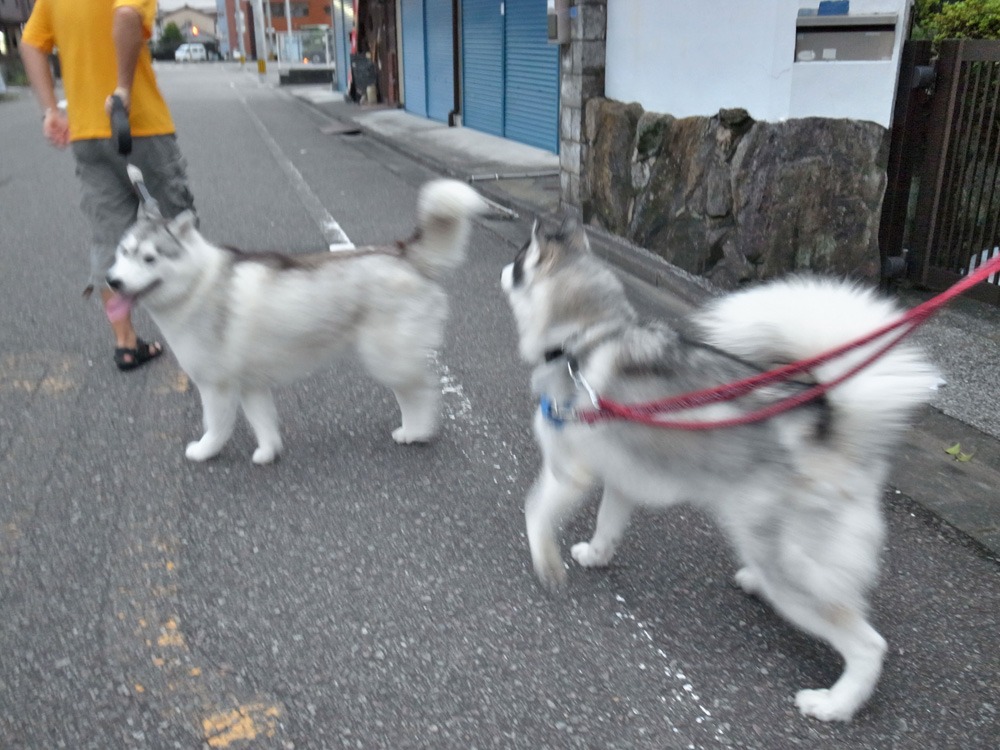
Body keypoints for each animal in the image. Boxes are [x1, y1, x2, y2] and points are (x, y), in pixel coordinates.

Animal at [107, 177, 486, 468]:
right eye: (123, 252)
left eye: (149, 258)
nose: (113, 281)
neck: (197, 284)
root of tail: (403, 254)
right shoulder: (251, 384)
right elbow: (263, 423)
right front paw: (267, 453)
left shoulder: (217, 387)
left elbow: (215, 426)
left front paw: (204, 451)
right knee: (412, 390)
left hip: (386, 357)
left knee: (422, 388)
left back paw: (417, 432)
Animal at [504, 216, 940, 724]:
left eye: (518, 258)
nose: (502, 269)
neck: (586, 335)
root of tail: (827, 431)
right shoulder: (621, 476)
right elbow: (607, 525)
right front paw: (596, 555)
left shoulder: (569, 471)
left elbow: (534, 511)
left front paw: (546, 564)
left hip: (790, 566)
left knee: (869, 644)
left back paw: (834, 703)